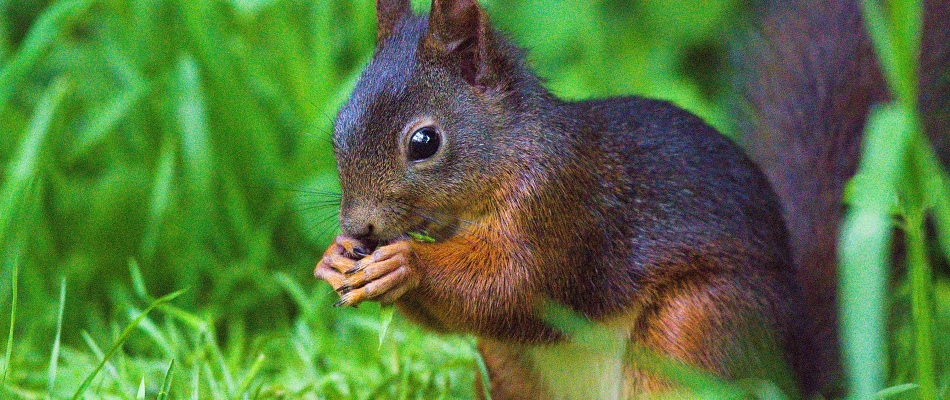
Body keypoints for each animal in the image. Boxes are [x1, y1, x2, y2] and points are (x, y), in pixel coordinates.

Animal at [316, 0, 948, 396]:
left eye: (424, 142)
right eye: (338, 126)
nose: (360, 227)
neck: (509, 152)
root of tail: (796, 364)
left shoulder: (563, 203)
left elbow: (516, 287)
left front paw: (406, 263)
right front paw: (334, 260)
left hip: (696, 327)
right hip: (506, 367)